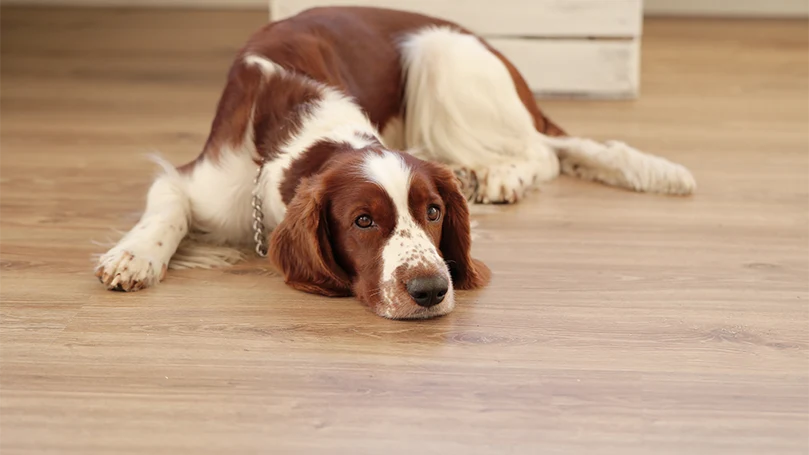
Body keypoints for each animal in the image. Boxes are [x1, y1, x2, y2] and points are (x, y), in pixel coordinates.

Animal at [93, 7, 696, 320]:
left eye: (433, 212)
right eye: (363, 221)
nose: (430, 290)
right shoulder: (204, 178)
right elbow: (167, 206)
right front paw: (133, 256)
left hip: (438, 53)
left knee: (542, 151)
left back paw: (498, 174)